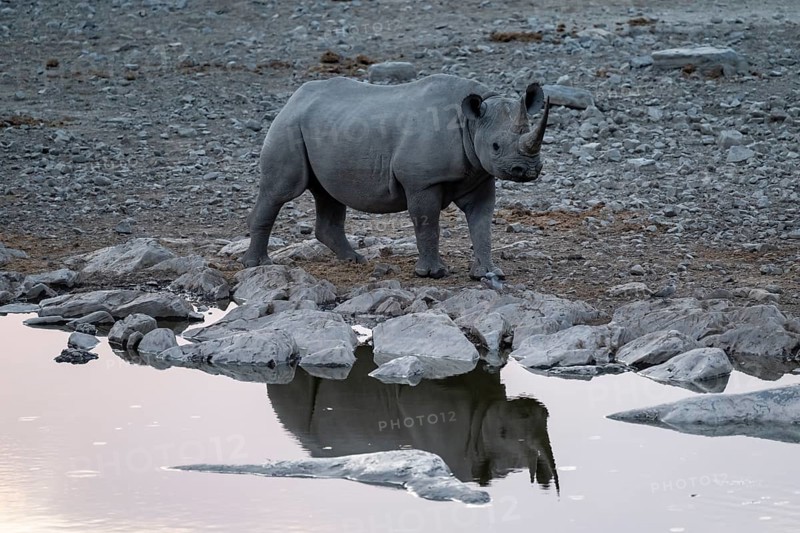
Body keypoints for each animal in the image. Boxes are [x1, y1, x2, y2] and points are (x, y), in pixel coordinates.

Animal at [243, 73, 550, 279]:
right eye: (496, 146)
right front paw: (432, 274)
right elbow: (427, 223)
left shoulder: (480, 174)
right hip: (289, 126)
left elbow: (482, 223)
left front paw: (489, 273)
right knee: (281, 191)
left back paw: (355, 261)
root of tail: (293, 98)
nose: (527, 170)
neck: (472, 123)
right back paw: (258, 265)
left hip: (326, 127)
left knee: (329, 193)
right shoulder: (422, 180)